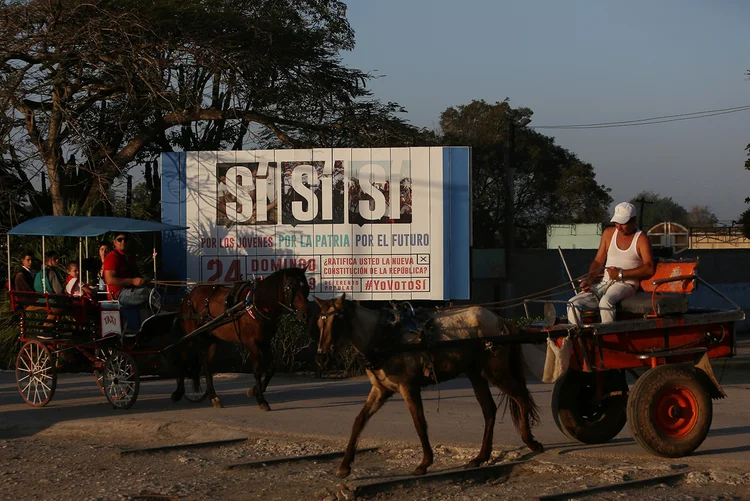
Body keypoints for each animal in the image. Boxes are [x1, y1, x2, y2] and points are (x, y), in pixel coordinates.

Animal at [176, 268, 312, 408]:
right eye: (292, 288)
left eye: (306, 288)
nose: (306, 314)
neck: (257, 304)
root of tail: (189, 295)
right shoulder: (252, 343)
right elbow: (257, 370)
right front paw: (261, 400)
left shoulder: (265, 341)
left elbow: (271, 368)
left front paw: (254, 390)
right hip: (191, 335)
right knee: (184, 356)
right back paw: (178, 392)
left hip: (210, 338)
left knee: (207, 365)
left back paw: (213, 397)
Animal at [314, 292, 544, 476]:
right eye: (319, 323)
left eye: (337, 322)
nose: (321, 357)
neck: (383, 336)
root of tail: (499, 319)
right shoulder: (380, 390)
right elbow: (359, 421)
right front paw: (345, 466)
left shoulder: (409, 387)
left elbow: (419, 423)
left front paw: (424, 463)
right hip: (476, 374)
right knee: (489, 410)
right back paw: (481, 456)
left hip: (495, 372)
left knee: (521, 396)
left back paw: (531, 441)